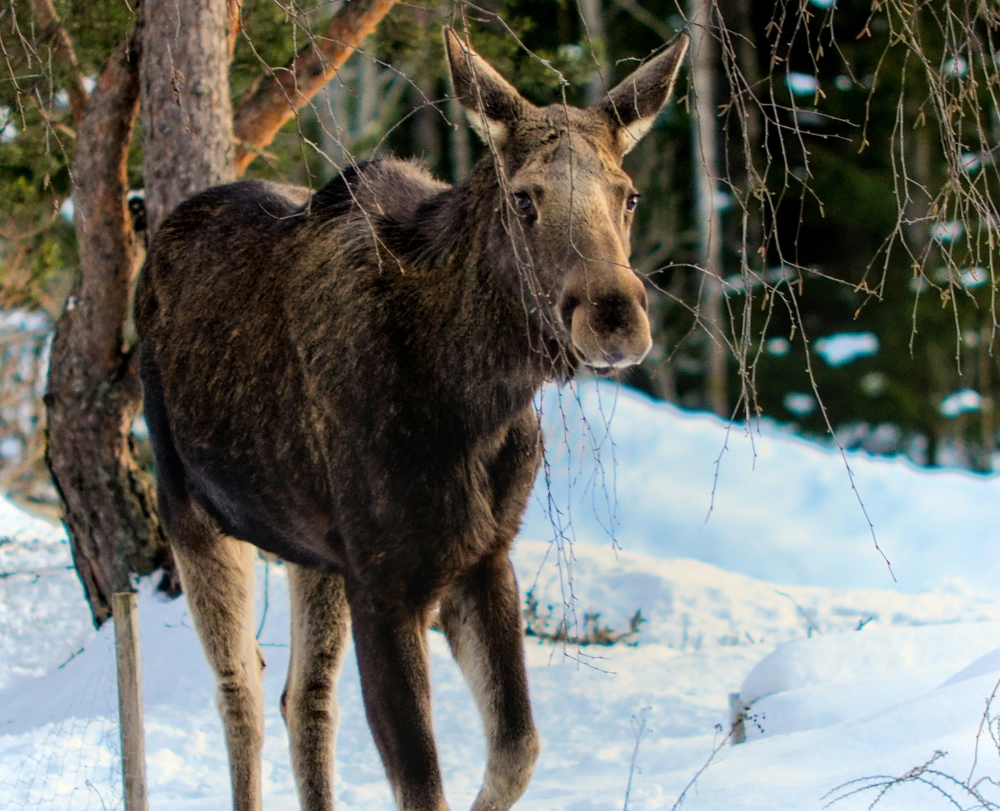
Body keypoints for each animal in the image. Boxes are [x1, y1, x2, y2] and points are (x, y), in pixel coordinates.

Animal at [135, 27, 688, 811]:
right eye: (524, 198)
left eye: (629, 195)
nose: (615, 316)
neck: (477, 397)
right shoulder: (385, 580)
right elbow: (427, 785)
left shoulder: (482, 556)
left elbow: (518, 748)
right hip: (190, 509)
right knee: (240, 693)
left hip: (314, 554)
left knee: (304, 696)